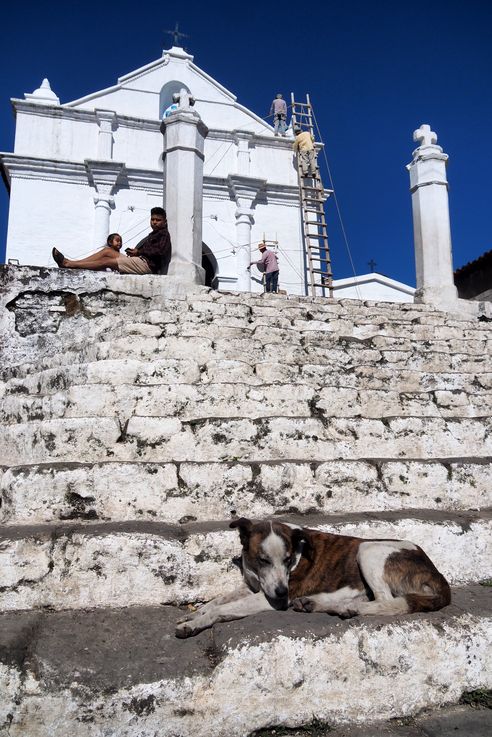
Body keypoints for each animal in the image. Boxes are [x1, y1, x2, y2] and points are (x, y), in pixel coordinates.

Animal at [175, 516, 452, 640]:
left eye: (288, 560)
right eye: (263, 560)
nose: (282, 593)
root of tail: (437, 573)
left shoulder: (269, 598)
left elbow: (222, 609)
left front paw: (195, 623)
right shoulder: (253, 587)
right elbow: (217, 601)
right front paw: (194, 614)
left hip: (368, 549)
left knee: (385, 601)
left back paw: (346, 608)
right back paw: (322, 605)